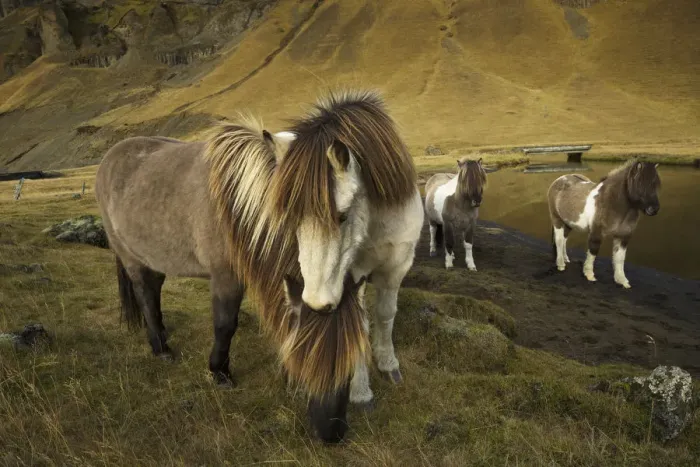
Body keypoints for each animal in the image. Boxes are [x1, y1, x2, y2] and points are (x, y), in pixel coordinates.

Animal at [94, 89, 422, 442]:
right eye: (303, 363)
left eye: (348, 365)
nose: (331, 434)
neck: (238, 207)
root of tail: (111, 157)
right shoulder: (226, 277)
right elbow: (225, 324)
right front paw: (219, 372)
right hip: (130, 257)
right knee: (144, 293)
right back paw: (161, 347)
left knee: (153, 291)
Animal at [547, 159, 660, 288]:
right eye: (640, 182)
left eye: (655, 184)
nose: (654, 209)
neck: (612, 202)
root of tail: (560, 179)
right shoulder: (596, 233)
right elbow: (593, 252)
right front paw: (589, 275)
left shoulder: (623, 237)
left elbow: (620, 258)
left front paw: (622, 280)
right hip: (557, 220)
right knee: (559, 240)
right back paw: (561, 265)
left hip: (569, 223)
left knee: (564, 240)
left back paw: (565, 259)